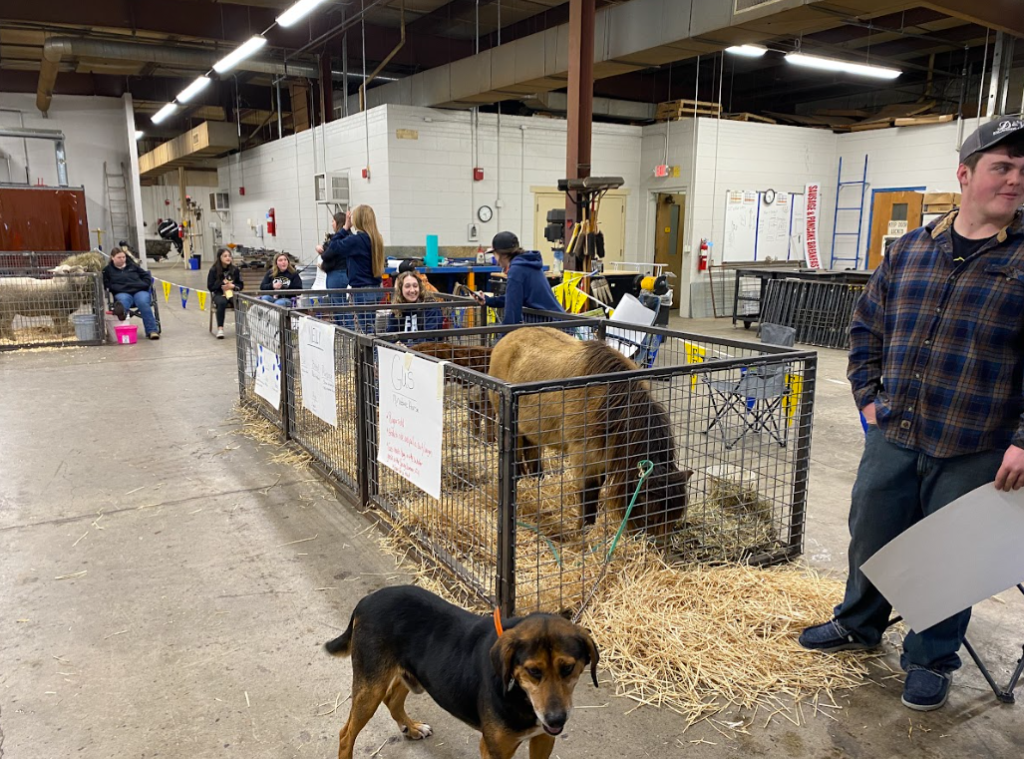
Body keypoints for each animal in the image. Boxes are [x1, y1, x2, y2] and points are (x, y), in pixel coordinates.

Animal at [325, 581, 598, 757]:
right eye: (534, 671)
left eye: (568, 668)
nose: (556, 719)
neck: (519, 694)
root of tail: (366, 600)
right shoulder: (494, 750)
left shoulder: (543, 739)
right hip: (370, 687)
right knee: (345, 735)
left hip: (410, 674)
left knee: (392, 699)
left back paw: (412, 728)